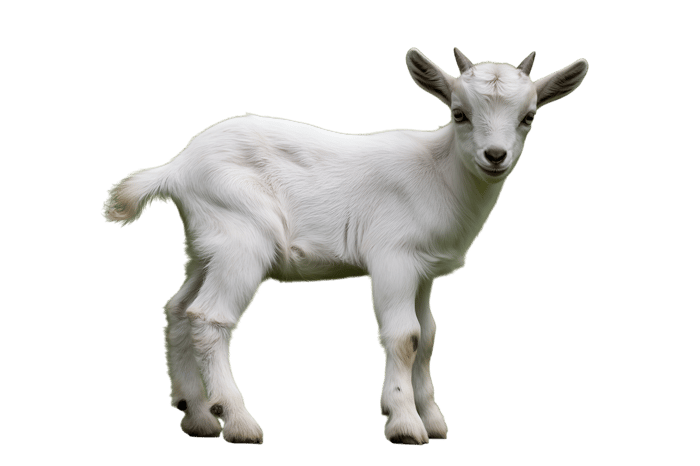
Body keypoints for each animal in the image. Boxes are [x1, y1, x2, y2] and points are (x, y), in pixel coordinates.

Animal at [102, 47, 588, 445]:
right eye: (458, 113)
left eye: (529, 116)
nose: (495, 156)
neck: (438, 173)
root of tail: (177, 167)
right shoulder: (393, 258)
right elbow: (405, 336)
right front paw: (404, 423)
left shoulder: (424, 271)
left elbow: (429, 337)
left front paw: (432, 419)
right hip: (242, 238)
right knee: (209, 318)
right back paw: (238, 422)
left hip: (206, 247)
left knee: (177, 310)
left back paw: (198, 416)